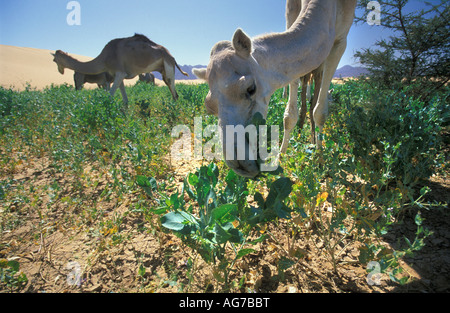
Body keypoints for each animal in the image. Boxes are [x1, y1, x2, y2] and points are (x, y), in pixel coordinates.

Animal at [51, 33, 187, 103]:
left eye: (54, 60)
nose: (60, 71)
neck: (104, 58)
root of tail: (171, 56)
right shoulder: (119, 75)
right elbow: (125, 100)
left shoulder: (118, 73)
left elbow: (109, 96)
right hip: (163, 69)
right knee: (171, 89)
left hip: (168, 66)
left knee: (174, 92)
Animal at [192, 0, 356, 177]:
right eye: (209, 107)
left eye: (250, 89)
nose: (238, 163)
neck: (327, 6)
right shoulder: (291, 16)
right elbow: (289, 114)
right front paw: (281, 158)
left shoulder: (341, 41)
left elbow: (320, 112)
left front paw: (320, 162)